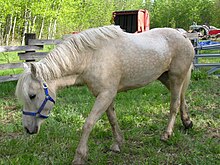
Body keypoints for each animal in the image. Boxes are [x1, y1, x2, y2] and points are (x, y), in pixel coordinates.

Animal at [15, 25, 194, 164]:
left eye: (32, 95)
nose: (27, 129)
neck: (90, 58)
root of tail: (182, 35)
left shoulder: (106, 94)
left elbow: (88, 123)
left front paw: (80, 156)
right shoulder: (105, 95)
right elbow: (112, 119)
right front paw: (118, 143)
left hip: (176, 77)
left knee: (174, 104)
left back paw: (166, 134)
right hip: (166, 78)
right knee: (182, 98)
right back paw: (187, 122)